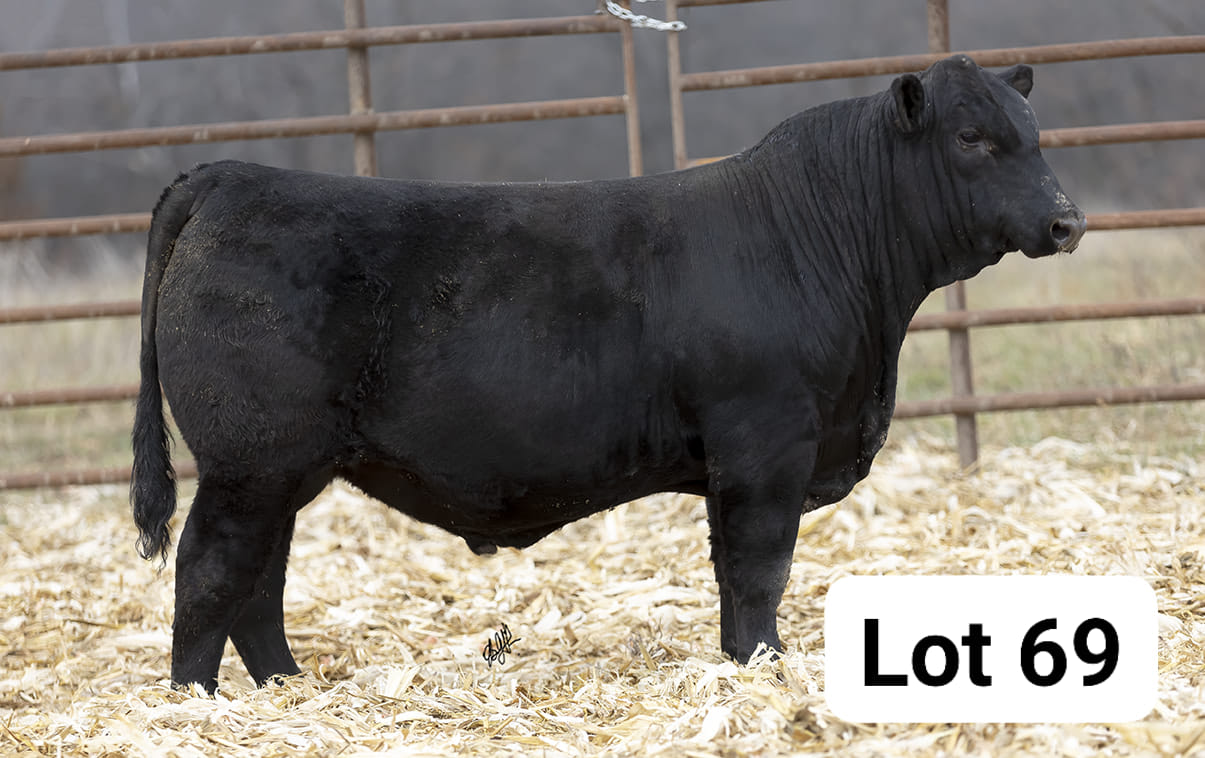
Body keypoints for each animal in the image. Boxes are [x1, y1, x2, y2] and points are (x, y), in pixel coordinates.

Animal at [131, 55, 1085, 693]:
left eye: (1034, 136)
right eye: (970, 137)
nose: (1066, 220)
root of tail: (226, 174)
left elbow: (733, 573)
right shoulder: (765, 447)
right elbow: (757, 570)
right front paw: (762, 667)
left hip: (281, 469)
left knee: (260, 584)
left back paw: (281, 688)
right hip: (249, 463)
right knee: (211, 572)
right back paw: (196, 701)